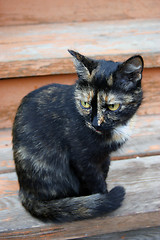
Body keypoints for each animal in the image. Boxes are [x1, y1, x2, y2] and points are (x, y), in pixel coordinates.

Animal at [11, 49, 143, 222]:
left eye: (112, 106)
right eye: (85, 104)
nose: (95, 123)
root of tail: (25, 192)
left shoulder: (104, 157)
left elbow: (104, 171)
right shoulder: (82, 159)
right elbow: (96, 180)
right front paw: (103, 198)